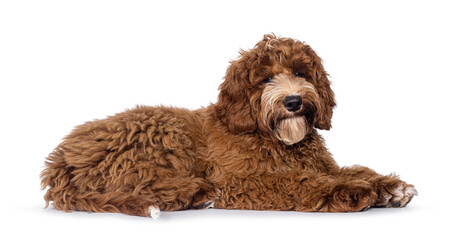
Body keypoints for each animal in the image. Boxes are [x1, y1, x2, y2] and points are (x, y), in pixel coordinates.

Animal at [40, 33, 416, 219]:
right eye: (265, 79)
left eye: (301, 72)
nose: (294, 102)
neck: (274, 139)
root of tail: (59, 163)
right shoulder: (238, 179)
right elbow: (297, 181)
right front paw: (349, 191)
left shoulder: (318, 163)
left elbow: (351, 169)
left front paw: (388, 186)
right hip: (159, 132)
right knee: (141, 186)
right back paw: (195, 194)